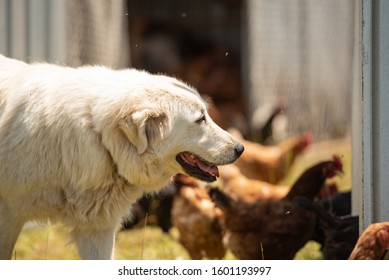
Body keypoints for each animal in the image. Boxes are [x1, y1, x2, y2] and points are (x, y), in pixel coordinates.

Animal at [0, 55, 242, 260]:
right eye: (200, 119)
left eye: (207, 114)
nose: (240, 149)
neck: (98, 136)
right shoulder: (8, 218)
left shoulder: (97, 230)